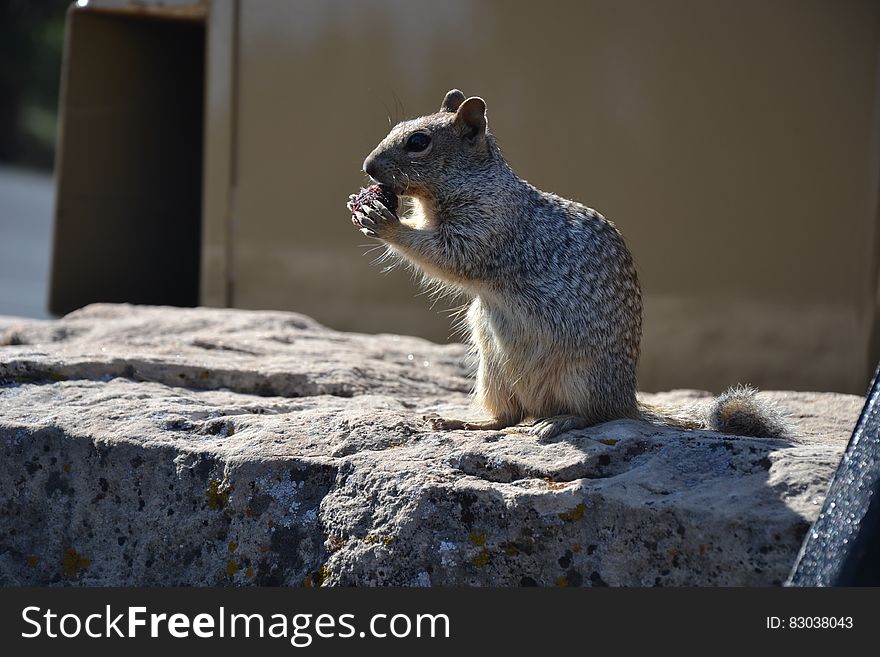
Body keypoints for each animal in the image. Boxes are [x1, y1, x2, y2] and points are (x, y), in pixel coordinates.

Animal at [348, 86, 788, 436]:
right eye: (397, 127)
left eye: (418, 141)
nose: (367, 166)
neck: (474, 182)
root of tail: (626, 398)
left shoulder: (486, 227)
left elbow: (450, 255)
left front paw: (386, 222)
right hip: (492, 371)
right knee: (508, 417)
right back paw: (462, 420)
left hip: (578, 377)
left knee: (594, 417)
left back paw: (557, 422)